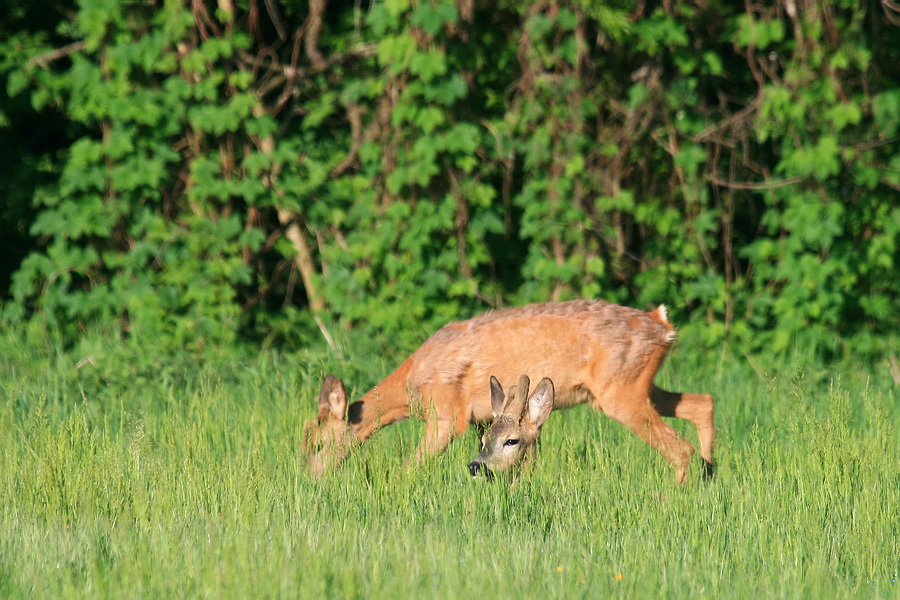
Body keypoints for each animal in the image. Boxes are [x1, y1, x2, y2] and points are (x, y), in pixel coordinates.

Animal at [302, 300, 716, 482]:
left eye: (319, 443)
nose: (307, 476)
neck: (410, 388)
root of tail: (663, 325)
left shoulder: (447, 413)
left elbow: (411, 466)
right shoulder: (484, 418)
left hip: (621, 392)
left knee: (679, 449)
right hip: (632, 387)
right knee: (703, 402)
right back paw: (709, 480)